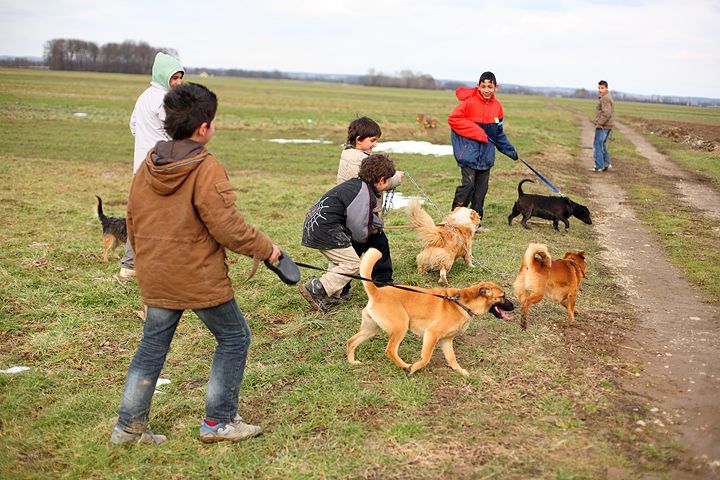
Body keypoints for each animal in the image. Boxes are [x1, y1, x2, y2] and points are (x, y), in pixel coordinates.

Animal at [348, 249, 512, 376]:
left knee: (351, 341)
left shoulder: (446, 340)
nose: (515, 305)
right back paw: (405, 365)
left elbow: (452, 359)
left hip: (371, 329)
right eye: (503, 296)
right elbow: (425, 358)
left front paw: (460, 371)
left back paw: (352, 362)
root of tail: (376, 292)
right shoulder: (432, 334)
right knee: (390, 350)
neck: (462, 303)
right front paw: (413, 369)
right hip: (400, 326)